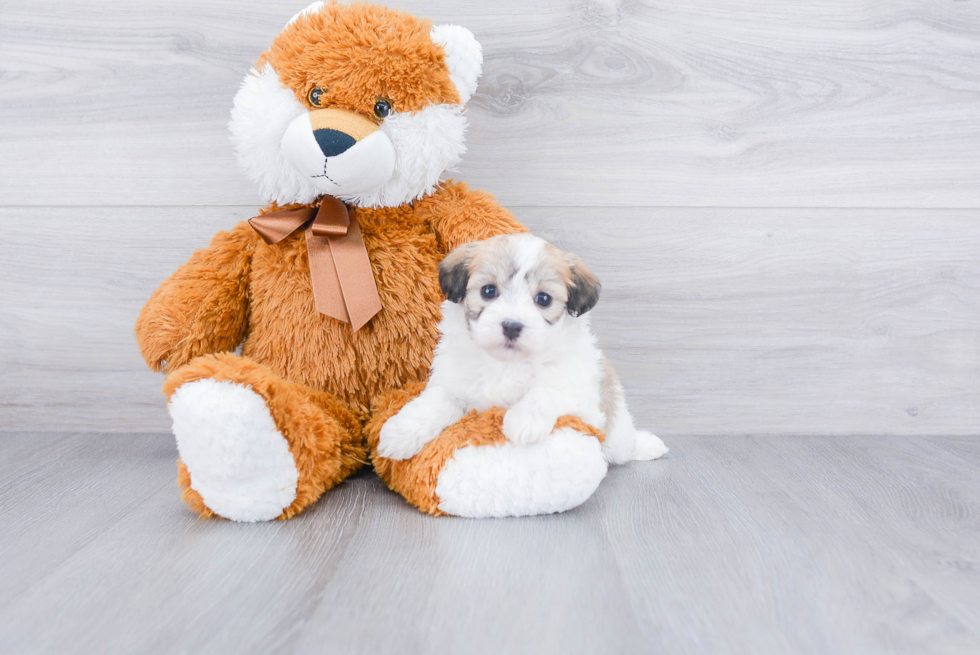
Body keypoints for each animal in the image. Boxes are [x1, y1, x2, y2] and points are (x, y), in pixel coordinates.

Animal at [376, 233, 668, 464]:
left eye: (544, 299)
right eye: (488, 291)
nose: (511, 326)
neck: (506, 363)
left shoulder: (582, 397)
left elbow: (549, 390)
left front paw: (524, 421)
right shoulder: (454, 382)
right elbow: (436, 401)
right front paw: (400, 432)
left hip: (615, 431)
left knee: (623, 449)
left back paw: (643, 445)